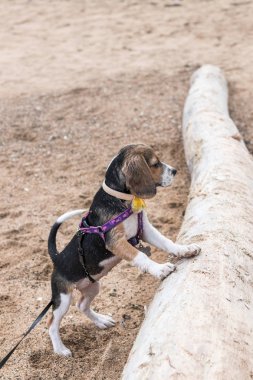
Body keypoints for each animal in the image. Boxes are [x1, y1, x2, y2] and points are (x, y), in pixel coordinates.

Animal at [47, 142, 200, 356]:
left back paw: (101, 321)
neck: (123, 200)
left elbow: (166, 242)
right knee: (52, 322)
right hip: (62, 297)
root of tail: (57, 258)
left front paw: (185, 249)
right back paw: (60, 349)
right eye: (155, 164)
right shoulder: (117, 242)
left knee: (82, 305)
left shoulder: (145, 230)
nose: (175, 171)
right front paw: (160, 269)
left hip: (92, 286)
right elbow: (141, 257)